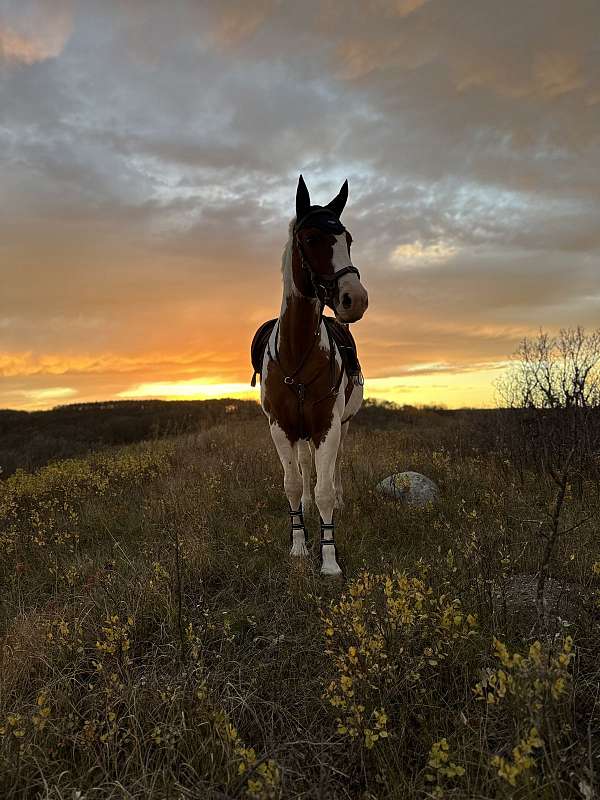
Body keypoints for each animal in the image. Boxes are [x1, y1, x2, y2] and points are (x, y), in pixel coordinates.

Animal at [251, 175, 368, 576]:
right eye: (311, 238)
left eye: (348, 239)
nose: (354, 298)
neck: (297, 351)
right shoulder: (281, 427)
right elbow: (291, 484)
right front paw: (299, 544)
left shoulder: (327, 426)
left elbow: (325, 490)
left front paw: (329, 558)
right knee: (304, 469)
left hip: (342, 425)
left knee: (335, 467)